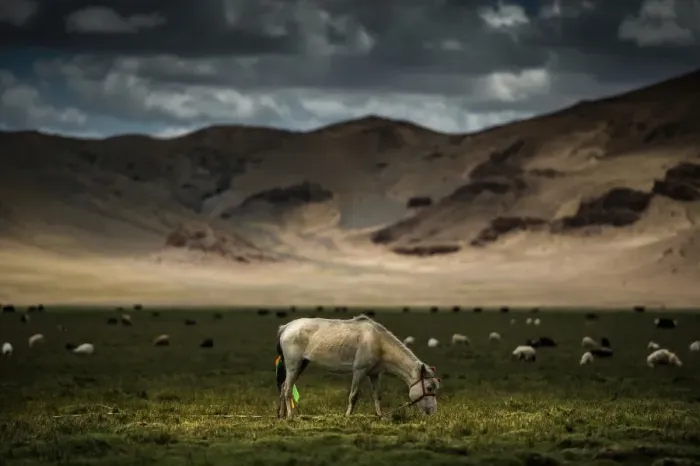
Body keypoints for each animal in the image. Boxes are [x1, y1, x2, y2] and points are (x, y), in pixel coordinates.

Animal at [275, 315, 441, 420]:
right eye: (429, 387)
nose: (433, 412)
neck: (379, 343)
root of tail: (286, 327)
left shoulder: (374, 374)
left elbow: (377, 395)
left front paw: (379, 415)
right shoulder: (359, 371)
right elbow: (353, 395)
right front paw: (348, 415)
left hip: (302, 364)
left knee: (283, 387)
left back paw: (281, 415)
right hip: (293, 364)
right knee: (287, 388)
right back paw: (290, 416)